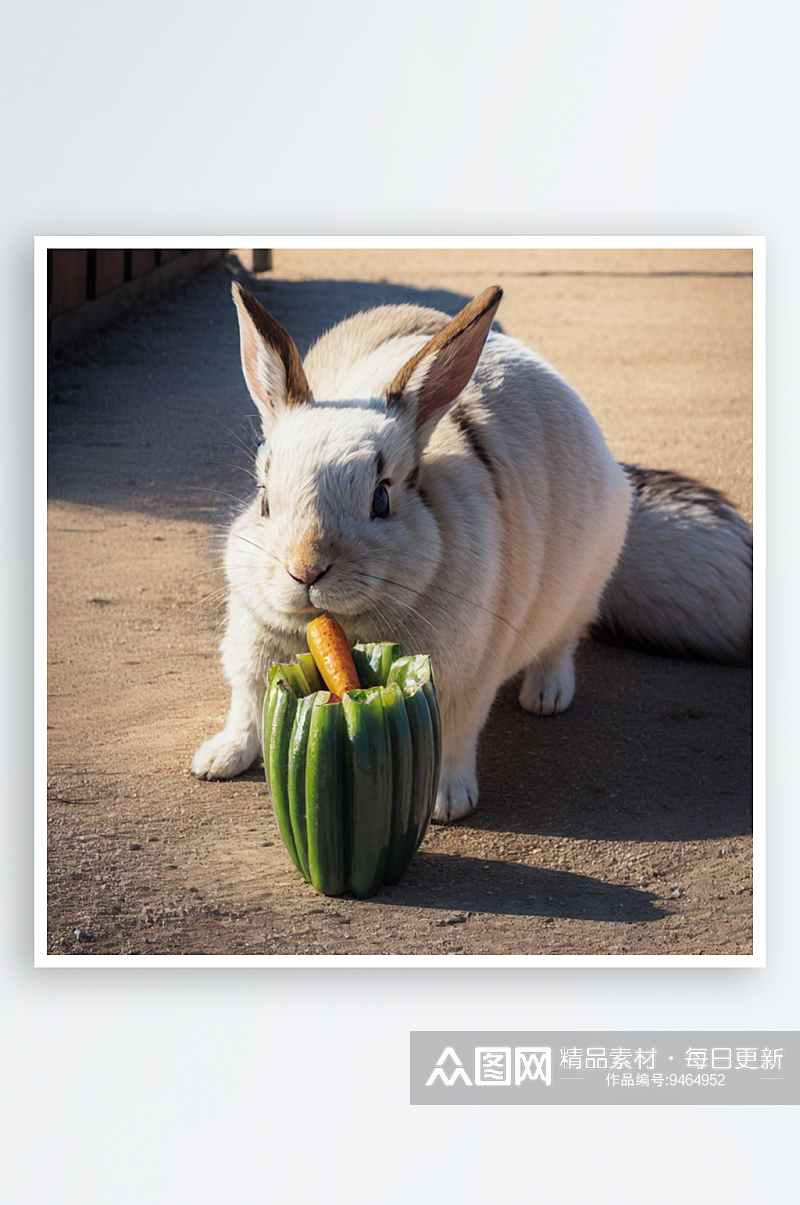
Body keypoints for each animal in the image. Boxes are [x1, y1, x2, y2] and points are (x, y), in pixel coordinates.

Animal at [192, 285, 751, 824]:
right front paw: (217, 761)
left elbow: (458, 733)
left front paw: (446, 804)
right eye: (264, 498)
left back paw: (546, 697)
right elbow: (247, 708)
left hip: (583, 586)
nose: (306, 571)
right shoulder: (252, 654)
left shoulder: (465, 676)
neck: (346, 627)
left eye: (381, 498)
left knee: (563, 642)